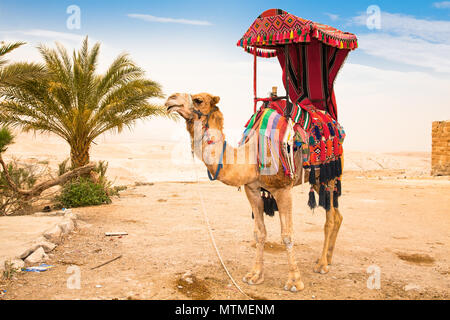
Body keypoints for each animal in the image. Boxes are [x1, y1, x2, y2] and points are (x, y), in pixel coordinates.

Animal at [164, 92, 342, 292]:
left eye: (198, 100)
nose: (171, 99)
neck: (252, 155)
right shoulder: (252, 190)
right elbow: (259, 233)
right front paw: (255, 275)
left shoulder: (283, 189)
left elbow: (287, 235)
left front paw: (294, 281)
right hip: (318, 179)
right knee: (337, 215)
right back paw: (327, 258)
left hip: (330, 174)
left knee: (330, 218)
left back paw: (322, 265)